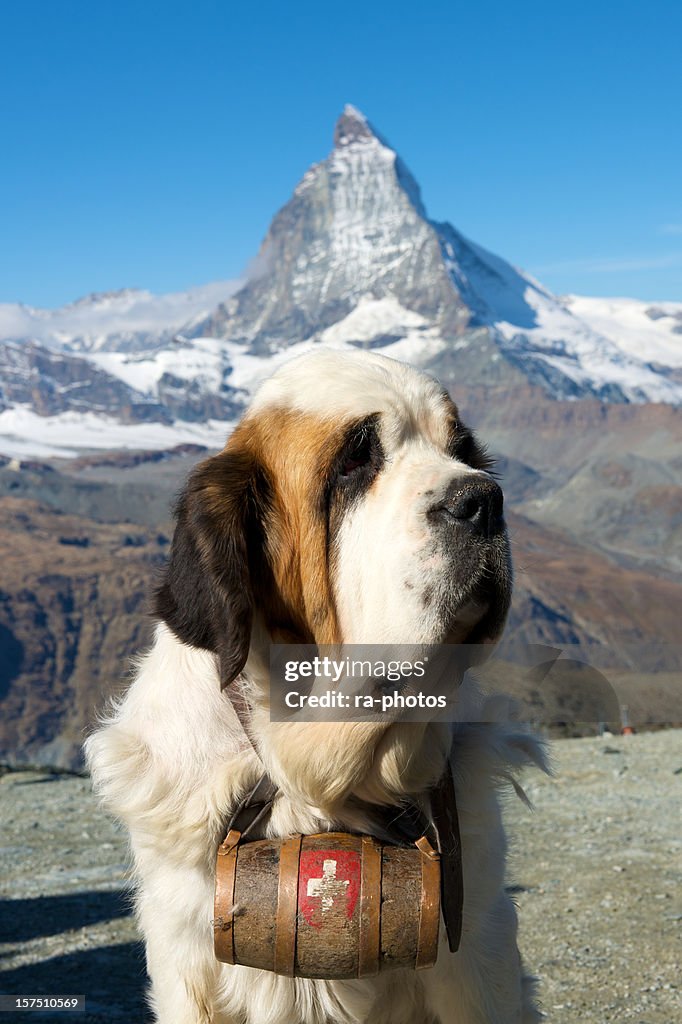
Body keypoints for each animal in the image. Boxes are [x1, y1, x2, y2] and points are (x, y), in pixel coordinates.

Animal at [84, 350, 544, 1024]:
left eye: (463, 451)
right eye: (355, 461)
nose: (483, 499)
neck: (323, 777)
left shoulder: (477, 946)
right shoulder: (186, 957)